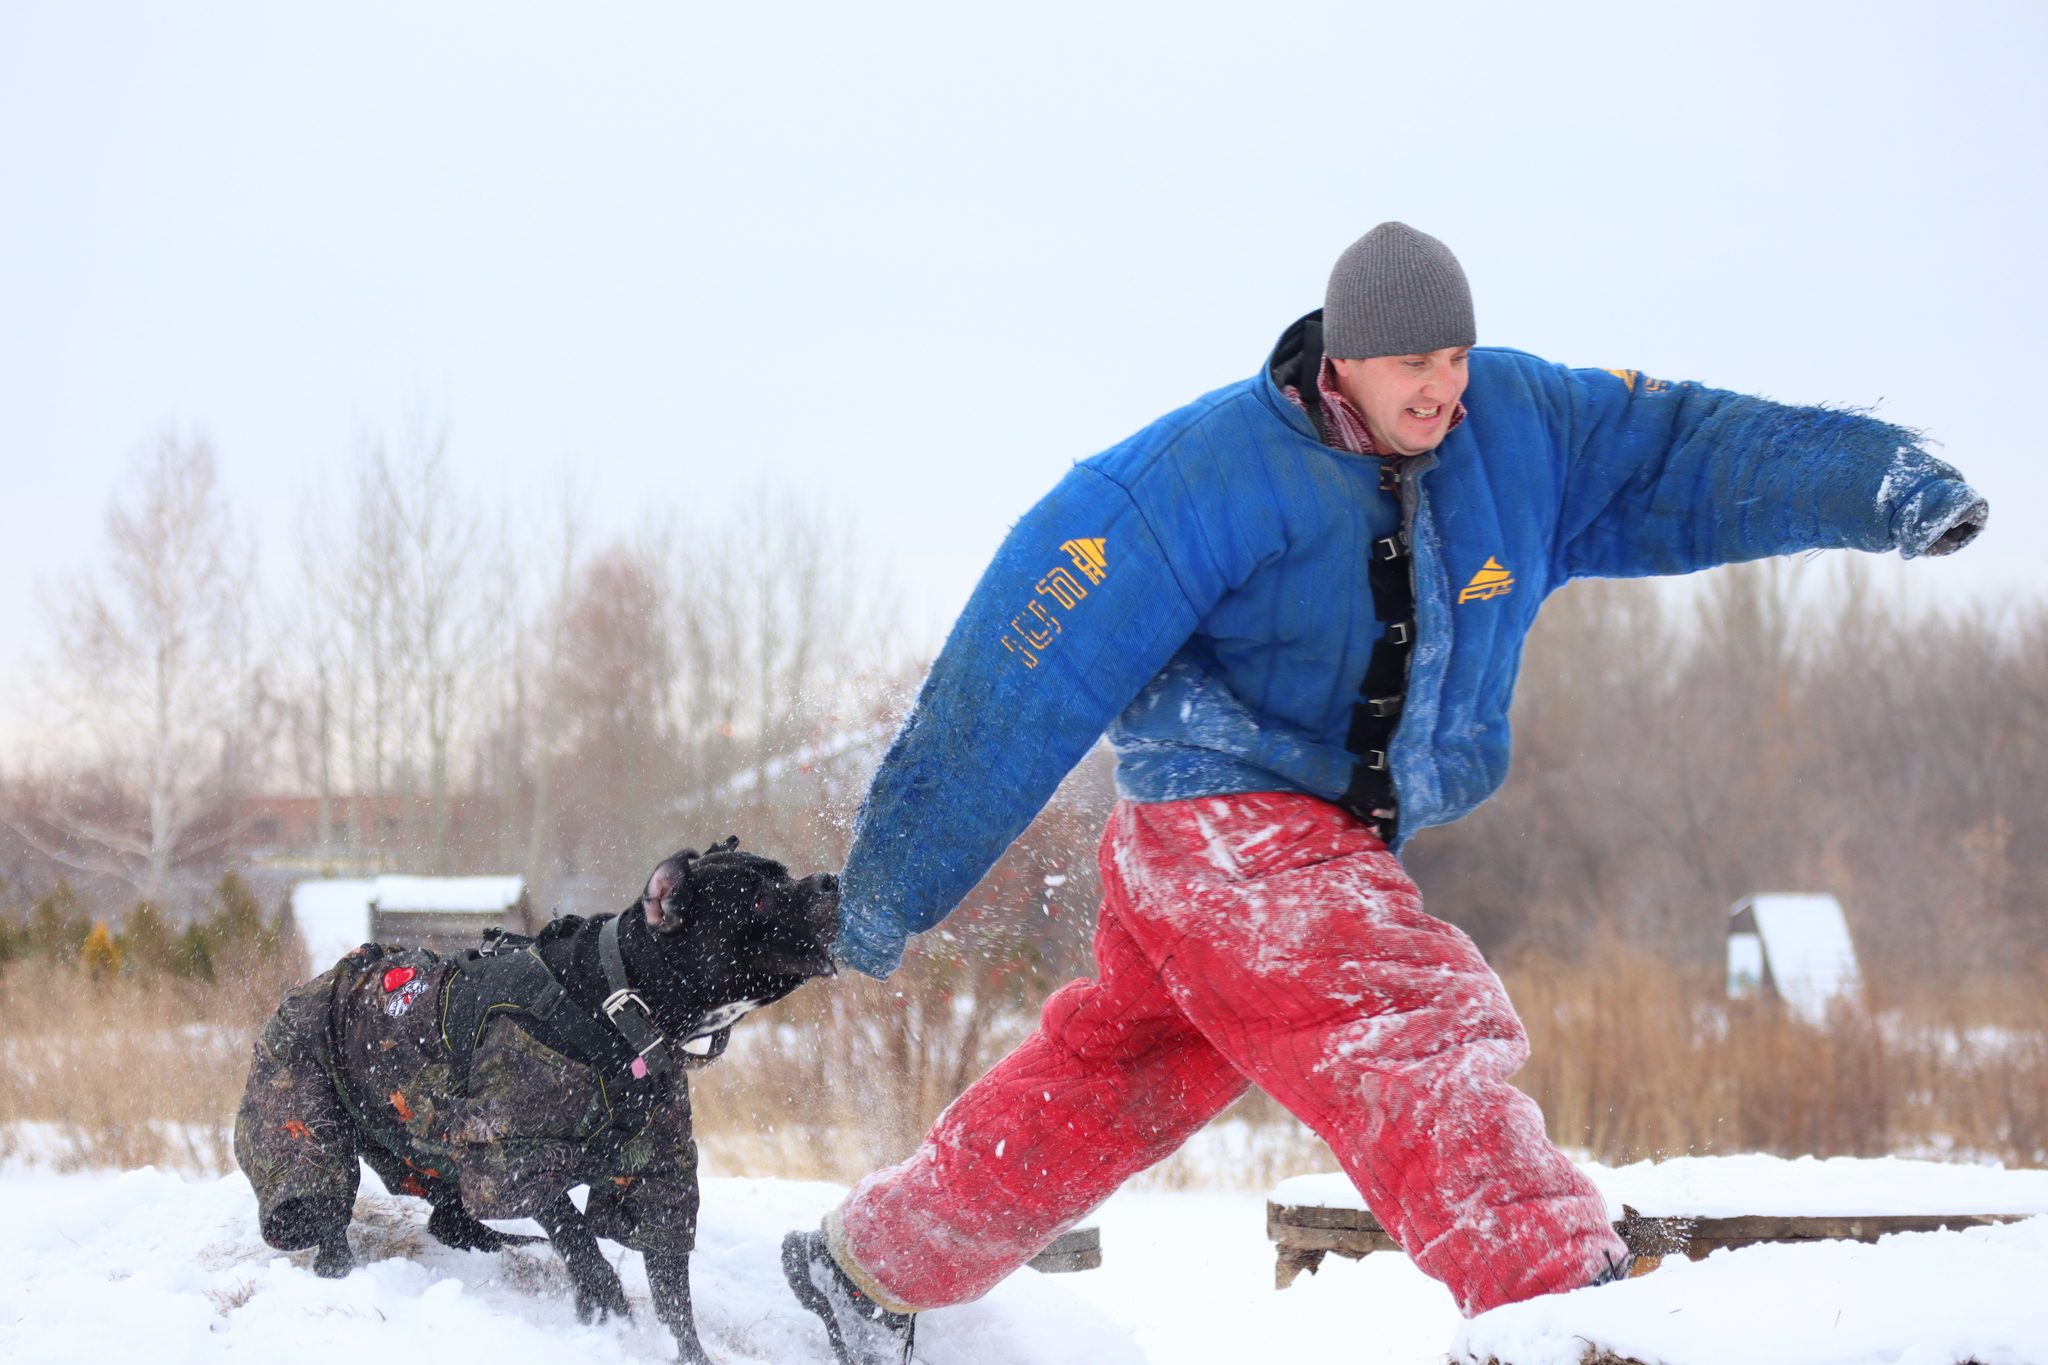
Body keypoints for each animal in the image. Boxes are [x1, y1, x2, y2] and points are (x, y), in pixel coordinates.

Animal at [239, 839, 839, 1358]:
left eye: (784, 875)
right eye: (757, 897)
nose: (830, 880)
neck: (619, 1003)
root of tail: (321, 979)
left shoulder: (659, 1171)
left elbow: (673, 1292)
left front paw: (685, 1352)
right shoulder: (509, 1152)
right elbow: (578, 1236)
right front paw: (606, 1309)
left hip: (425, 1150)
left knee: (448, 1219)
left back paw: (504, 1248)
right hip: (306, 1127)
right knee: (326, 1213)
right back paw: (346, 1274)